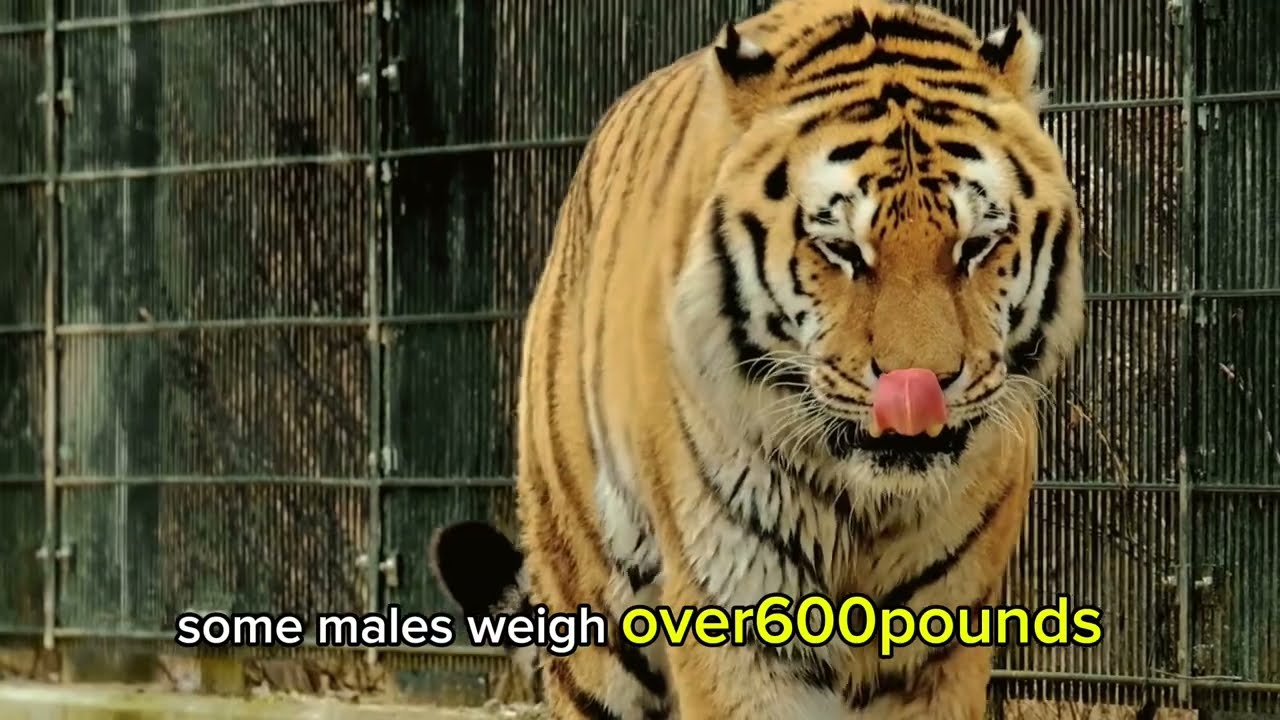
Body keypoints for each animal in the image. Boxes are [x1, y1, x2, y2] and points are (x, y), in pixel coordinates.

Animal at [429, 0, 1085, 718]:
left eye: (975, 246)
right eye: (841, 250)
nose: (921, 390)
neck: (869, 510)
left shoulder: (942, 640)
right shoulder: (737, 611)